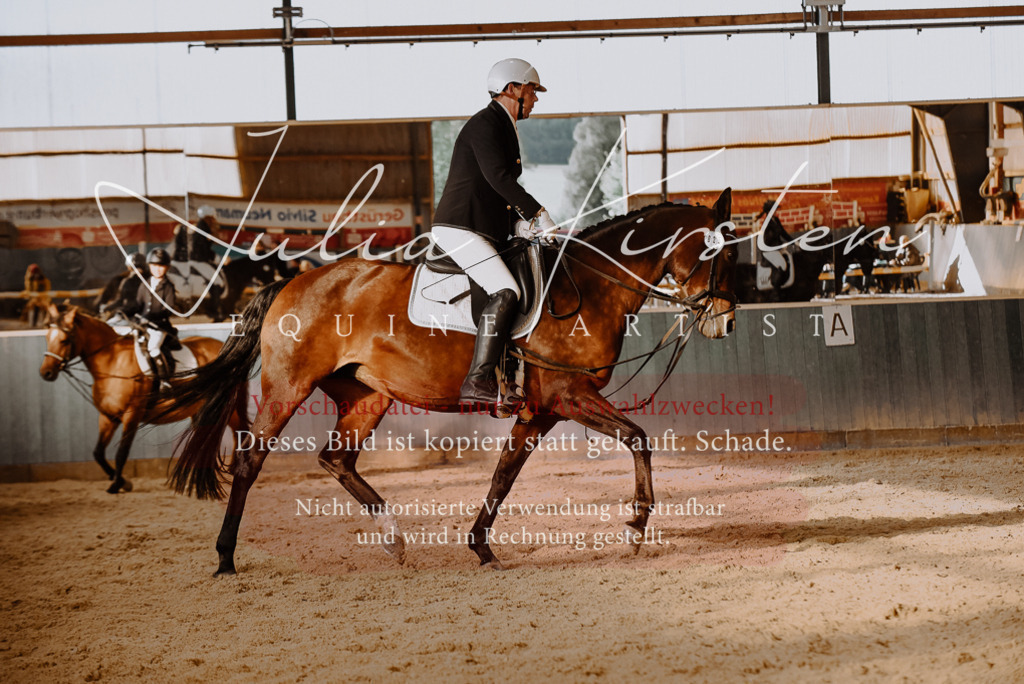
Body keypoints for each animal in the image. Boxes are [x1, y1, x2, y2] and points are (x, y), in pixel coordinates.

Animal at [38, 304, 250, 493]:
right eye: (47, 337)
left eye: (65, 340)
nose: (45, 373)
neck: (112, 363)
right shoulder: (107, 417)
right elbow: (98, 453)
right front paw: (121, 481)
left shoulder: (132, 415)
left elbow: (121, 453)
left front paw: (116, 485)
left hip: (226, 407)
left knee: (239, 432)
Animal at [162, 190, 737, 576]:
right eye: (723, 254)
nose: (726, 323)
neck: (590, 286)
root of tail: (291, 281)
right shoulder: (569, 396)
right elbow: (638, 438)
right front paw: (635, 527)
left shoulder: (540, 411)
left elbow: (504, 476)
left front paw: (481, 546)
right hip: (288, 387)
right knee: (250, 461)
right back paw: (226, 557)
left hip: (367, 396)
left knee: (336, 459)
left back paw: (392, 537)